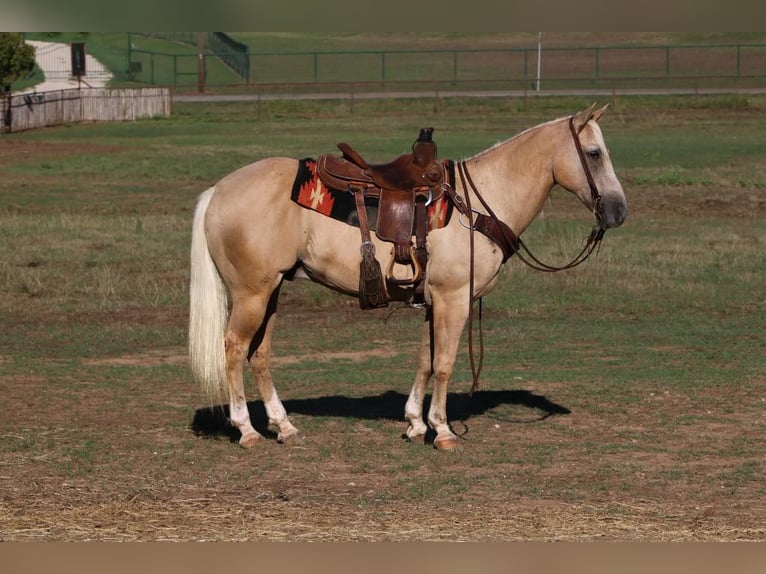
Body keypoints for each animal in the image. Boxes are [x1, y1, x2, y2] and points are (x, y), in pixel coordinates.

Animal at [189, 106, 628, 452]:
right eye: (594, 153)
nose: (619, 210)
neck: (477, 203)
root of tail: (217, 191)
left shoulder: (433, 301)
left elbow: (425, 360)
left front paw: (417, 423)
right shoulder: (453, 299)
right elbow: (445, 363)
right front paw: (443, 430)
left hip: (272, 291)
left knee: (259, 354)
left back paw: (284, 425)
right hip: (252, 294)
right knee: (234, 348)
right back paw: (246, 429)